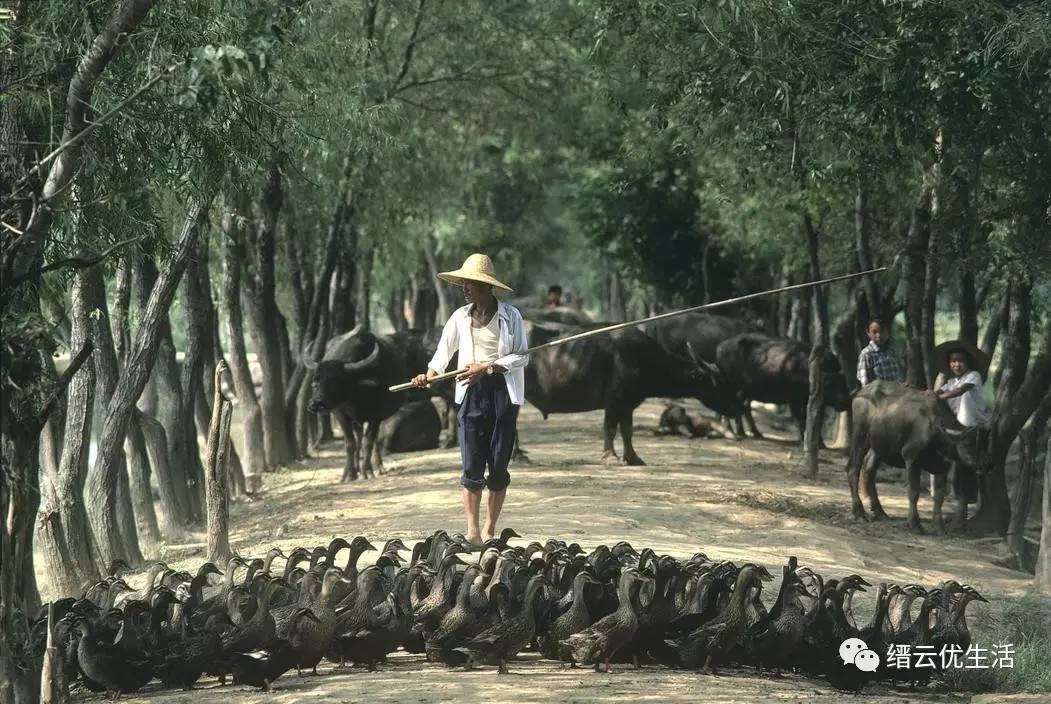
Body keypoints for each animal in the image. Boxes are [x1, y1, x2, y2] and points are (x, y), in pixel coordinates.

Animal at [523, 323, 739, 466]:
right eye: (721, 382)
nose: (736, 407)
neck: (644, 359)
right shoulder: (614, 400)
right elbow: (610, 428)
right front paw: (610, 457)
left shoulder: (628, 404)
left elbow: (627, 430)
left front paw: (633, 457)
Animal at [710, 334, 849, 439]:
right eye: (833, 385)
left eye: (844, 384)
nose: (845, 403)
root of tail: (719, 347)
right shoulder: (795, 400)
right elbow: (802, 419)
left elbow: (815, 422)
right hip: (735, 388)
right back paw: (734, 430)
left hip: (746, 391)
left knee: (743, 408)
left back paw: (750, 433)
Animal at [845, 380, 983, 535]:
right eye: (965, 444)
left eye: (978, 444)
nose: (980, 465)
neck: (936, 431)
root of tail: (861, 393)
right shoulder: (911, 457)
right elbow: (913, 491)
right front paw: (914, 523)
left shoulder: (942, 466)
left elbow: (939, 495)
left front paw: (939, 526)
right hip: (860, 436)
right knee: (853, 469)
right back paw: (859, 512)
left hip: (879, 445)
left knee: (868, 469)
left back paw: (879, 512)